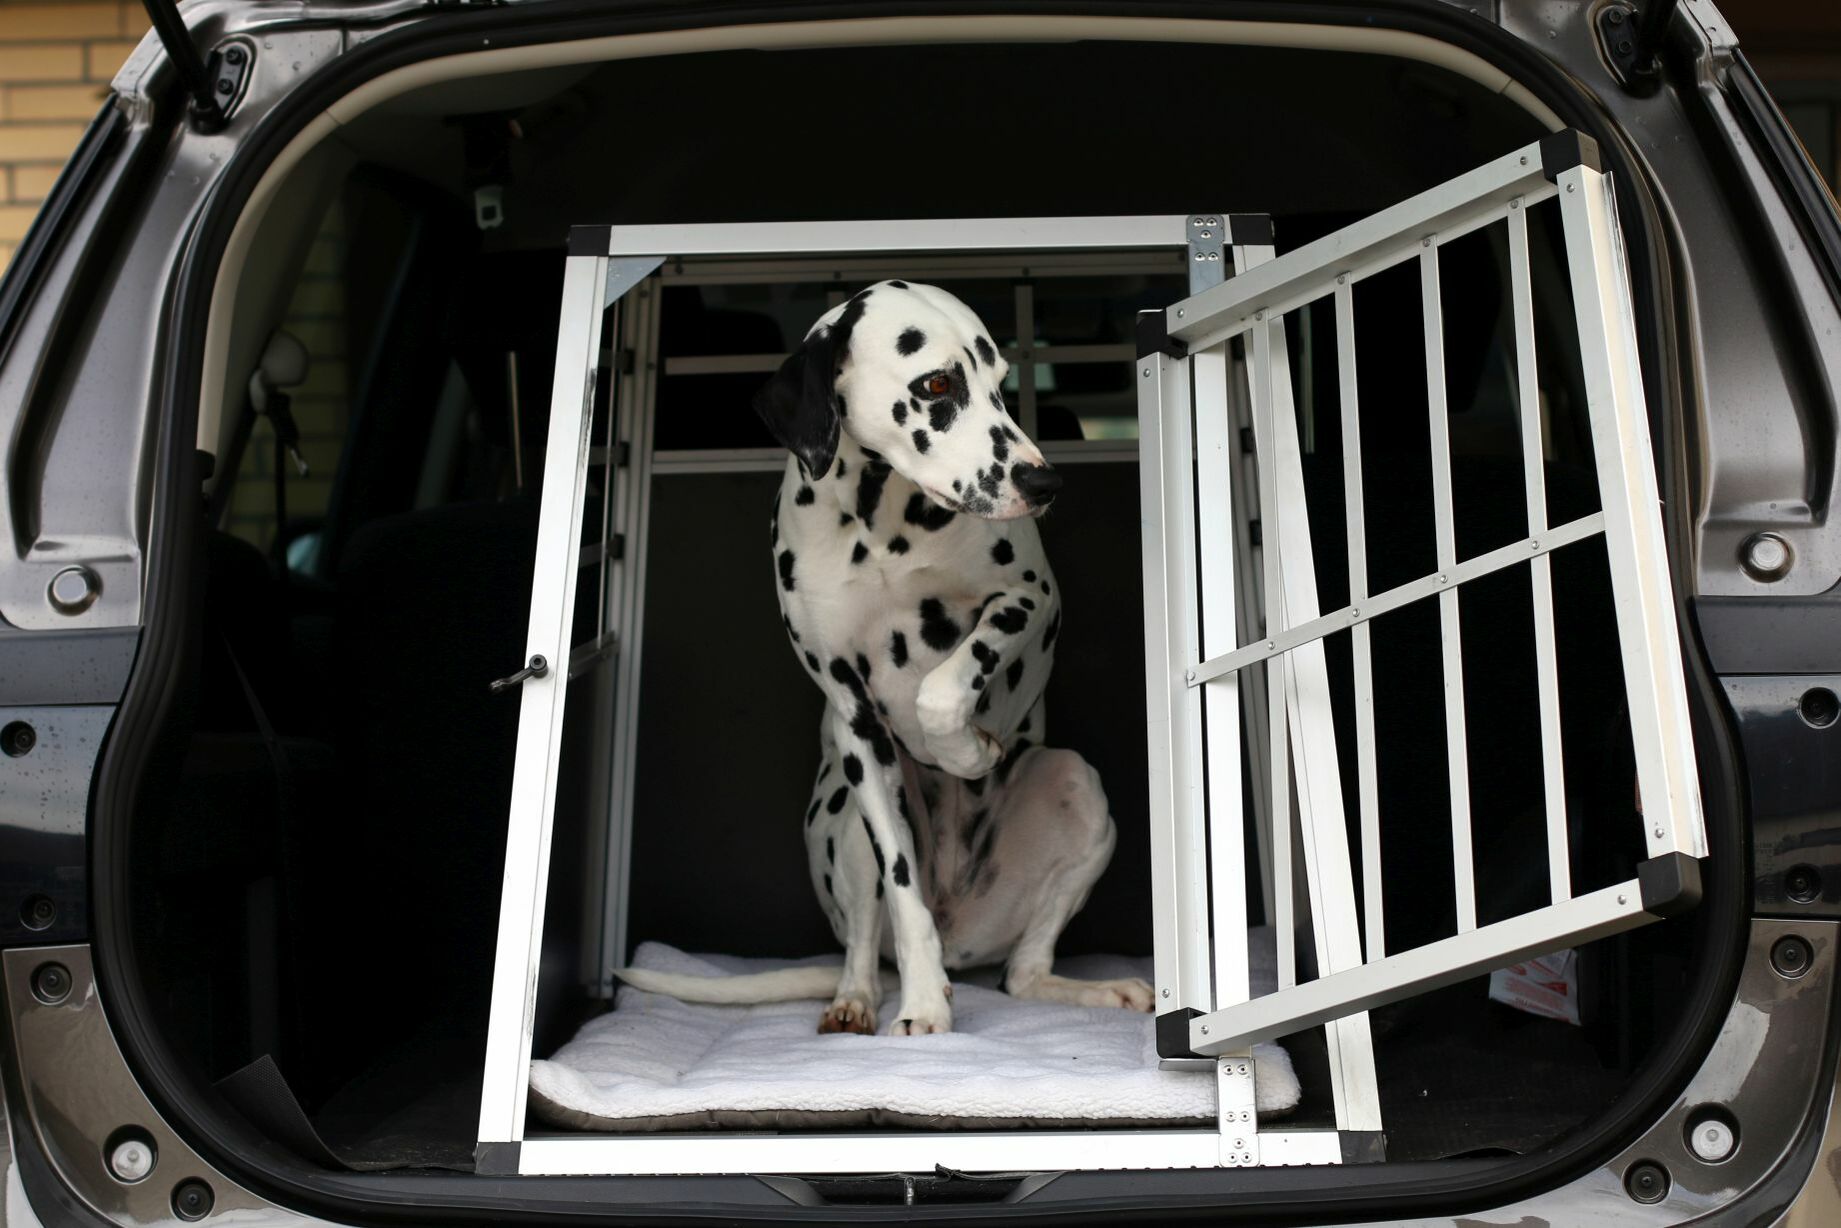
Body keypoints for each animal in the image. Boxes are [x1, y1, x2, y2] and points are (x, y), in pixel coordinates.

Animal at [618, 285, 1148, 1038]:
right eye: (936, 386)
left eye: (1000, 383)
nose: (1043, 481)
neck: (882, 519)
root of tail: (964, 935)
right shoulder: (856, 722)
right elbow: (903, 894)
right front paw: (924, 1003)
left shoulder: (1029, 601)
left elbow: (942, 688)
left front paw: (967, 753)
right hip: (842, 816)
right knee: (866, 947)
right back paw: (858, 999)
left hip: (1077, 789)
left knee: (1022, 974)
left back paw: (1090, 990)